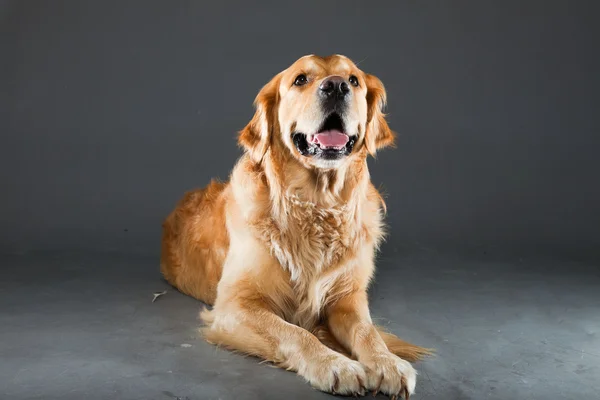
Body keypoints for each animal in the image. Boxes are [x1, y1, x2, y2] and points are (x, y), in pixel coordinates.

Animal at [162, 54, 428, 398]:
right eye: (300, 79)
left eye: (353, 80)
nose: (336, 86)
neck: (318, 206)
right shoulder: (235, 305)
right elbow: (295, 333)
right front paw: (335, 365)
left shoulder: (348, 296)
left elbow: (367, 331)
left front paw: (387, 363)